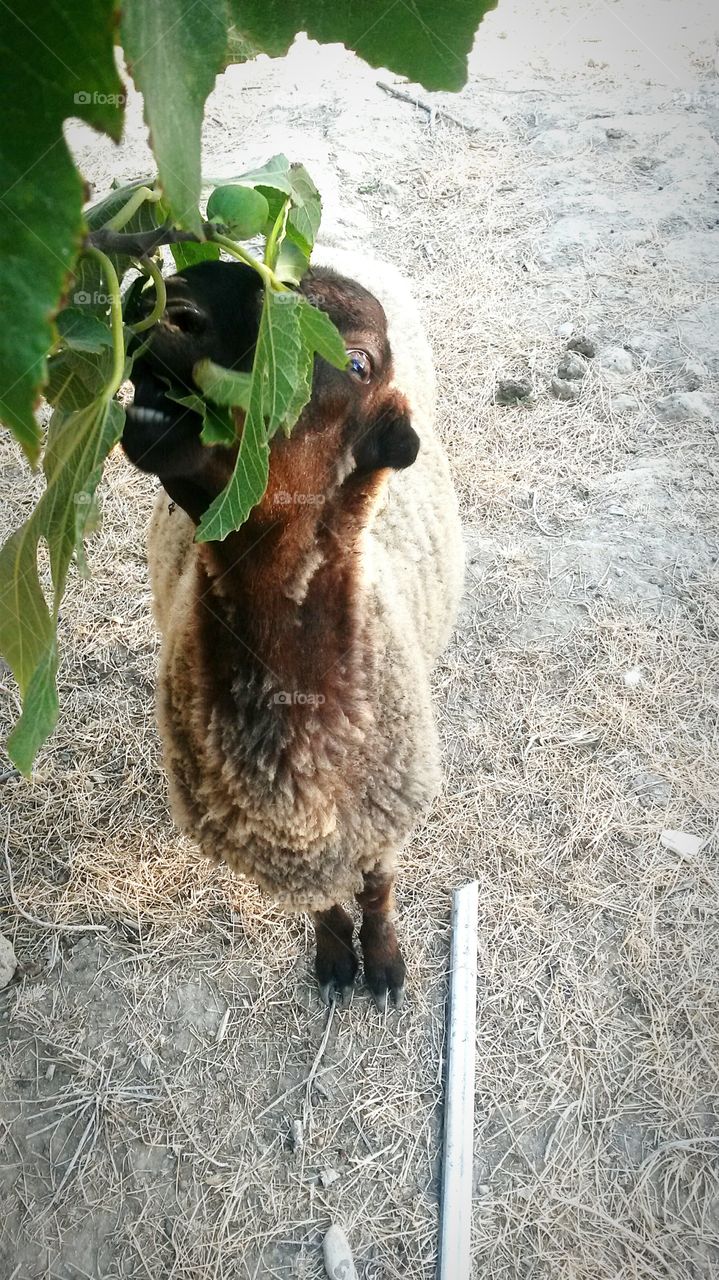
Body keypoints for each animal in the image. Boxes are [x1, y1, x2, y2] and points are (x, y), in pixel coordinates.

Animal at [122, 249, 464, 1008]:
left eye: (358, 363)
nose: (170, 306)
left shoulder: (383, 819)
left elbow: (377, 892)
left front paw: (384, 966)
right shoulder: (284, 848)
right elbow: (326, 906)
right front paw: (336, 961)